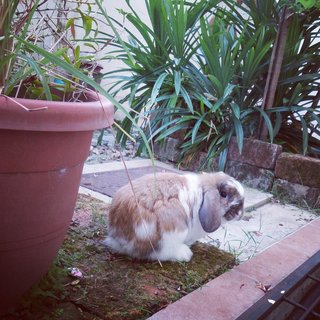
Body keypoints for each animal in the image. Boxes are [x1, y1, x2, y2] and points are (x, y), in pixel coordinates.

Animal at [104, 171, 244, 262]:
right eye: (224, 194)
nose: (240, 213)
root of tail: (122, 240)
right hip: (173, 231)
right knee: (161, 254)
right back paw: (185, 254)